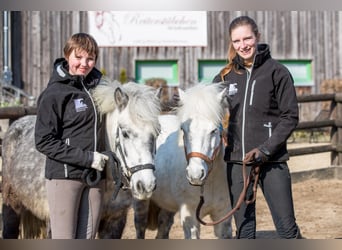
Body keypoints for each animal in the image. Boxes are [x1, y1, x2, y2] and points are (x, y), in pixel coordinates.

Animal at [1, 79, 162, 238]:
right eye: (125, 133)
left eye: (157, 133)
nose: (146, 185)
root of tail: (16, 124)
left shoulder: (115, 220)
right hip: (12, 203)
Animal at [135, 83, 234, 239]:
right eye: (184, 129)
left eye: (213, 131)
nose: (195, 174)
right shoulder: (190, 218)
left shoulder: (223, 216)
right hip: (141, 201)